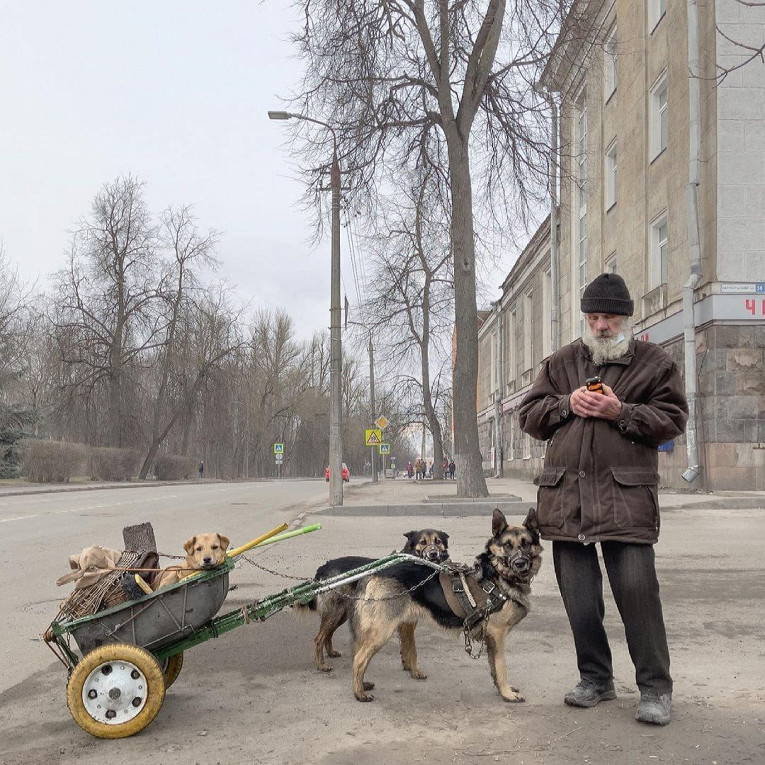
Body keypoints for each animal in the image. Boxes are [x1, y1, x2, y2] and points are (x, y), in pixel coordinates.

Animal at [296, 528, 448, 672]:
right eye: (423, 542)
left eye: (438, 541)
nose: (433, 554)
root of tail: (323, 567)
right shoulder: (407, 622)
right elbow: (412, 650)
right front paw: (415, 671)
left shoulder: (406, 621)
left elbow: (406, 648)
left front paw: (408, 667)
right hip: (334, 612)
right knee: (318, 639)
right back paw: (321, 665)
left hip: (341, 614)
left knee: (328, 634)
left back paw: (331, 653)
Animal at [350, 510, 540, 700]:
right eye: (507, 545)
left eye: (526, 543)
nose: (520, 564)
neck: (496, 574)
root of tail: (375, 571)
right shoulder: (497, 634)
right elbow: (501, 667)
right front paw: (507, 693)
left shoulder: (491, 638)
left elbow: (494, 667)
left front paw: (501, 690)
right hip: (381, 631)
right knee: (359, 659)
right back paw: (359, 693)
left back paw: (363, 685)